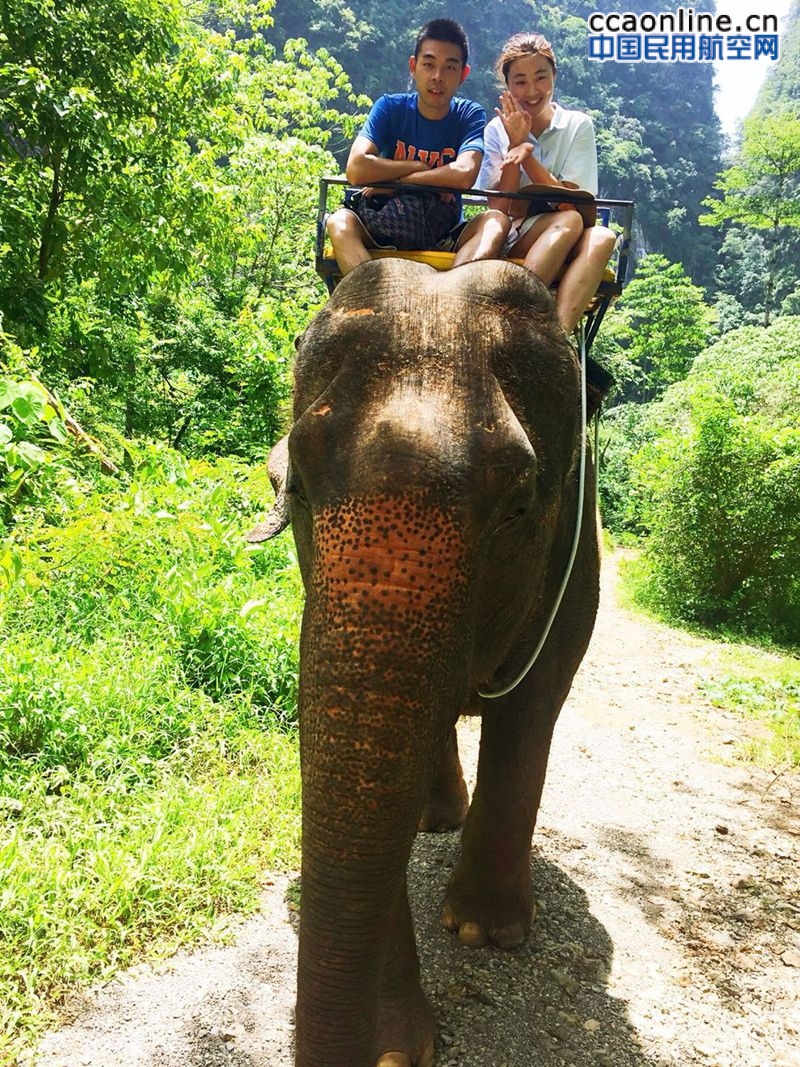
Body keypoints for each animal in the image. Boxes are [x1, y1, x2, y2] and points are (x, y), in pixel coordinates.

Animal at [250, 258, 601, 1067]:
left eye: (518, 508)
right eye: (296, 489)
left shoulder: (577, 555)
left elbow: (533, 705)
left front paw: (485, 933)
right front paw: (395, 1046)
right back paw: (435, 818)